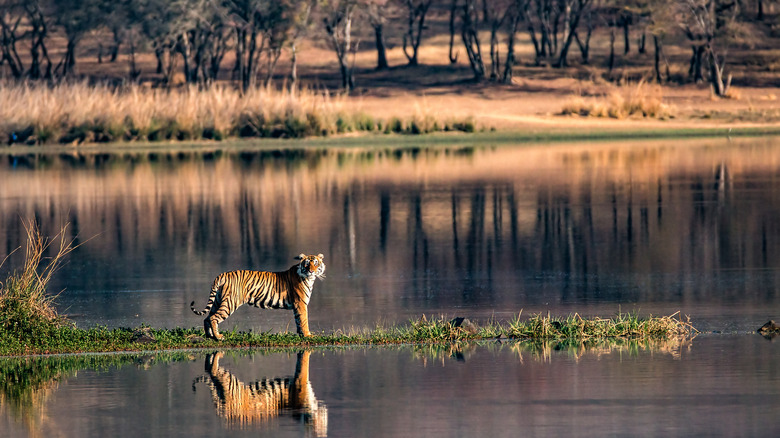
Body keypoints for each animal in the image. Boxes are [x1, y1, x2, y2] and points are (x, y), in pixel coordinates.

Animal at [192, 253, 326, 342]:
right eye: (307, 264)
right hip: (230, 303)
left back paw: (210, 336)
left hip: (218, 301)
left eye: (315, 263)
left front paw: (302, 335)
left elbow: (298, 321)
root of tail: (222, 274)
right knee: (213, 317)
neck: (309, 279)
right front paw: (308, 335)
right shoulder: (301, 303)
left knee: (207, 318)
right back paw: (219, 337)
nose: (311, 271)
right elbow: (304, 320)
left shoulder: (297, 305)